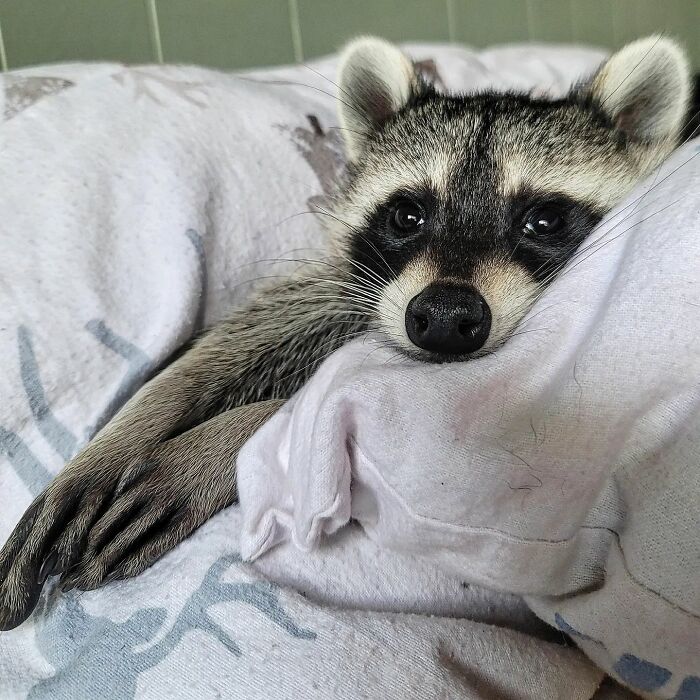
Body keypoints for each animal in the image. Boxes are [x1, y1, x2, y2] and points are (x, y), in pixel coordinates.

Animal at [0, 36, 692, 630]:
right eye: (407, 214)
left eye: (543, 219)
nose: (444, 319)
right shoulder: (365, 288)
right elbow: (263, 327)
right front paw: (124, 433)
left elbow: (329, 414)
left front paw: (211, 446)